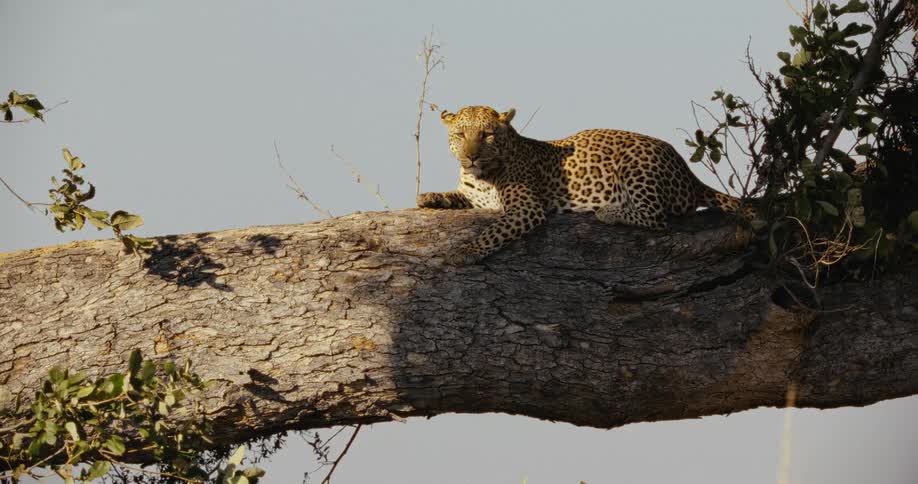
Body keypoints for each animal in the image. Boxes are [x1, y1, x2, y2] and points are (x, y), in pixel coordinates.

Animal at [417, 105, 751, 265]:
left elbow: (493, 231)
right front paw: (428, 197)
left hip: (635, 164)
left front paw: (468, 250)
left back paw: (610, 211)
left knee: (657, 218)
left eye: (486, 135)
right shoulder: (473, 197)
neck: (481, 175)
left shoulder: (527, 208)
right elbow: (453, 196)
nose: (470, 156)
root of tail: (688, 172)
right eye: (460, 135)